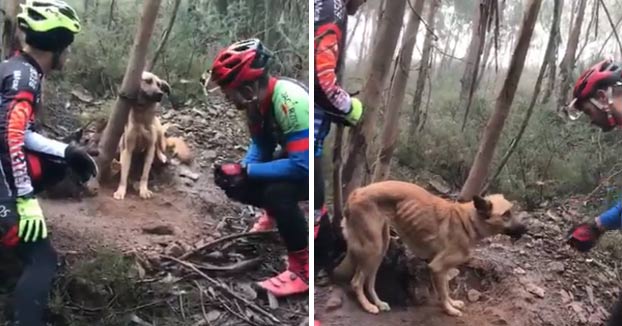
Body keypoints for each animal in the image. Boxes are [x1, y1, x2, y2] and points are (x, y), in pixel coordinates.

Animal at [113, 71, 172, 199]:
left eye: (159, 85)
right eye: (148, 81)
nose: (160, 94)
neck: (142, 116)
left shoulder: (150, 148)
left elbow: (145, 173)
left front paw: (144, 190)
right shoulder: (128, 148)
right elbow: (124, 173)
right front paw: (121, 190)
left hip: (159, 134)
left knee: (159, 146)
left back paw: (161, 156)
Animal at [334, 180, 528, 318]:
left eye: (511, 212)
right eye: (506, 215)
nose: (526, 229)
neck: (468, 222)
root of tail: (357, 191)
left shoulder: (445, 269)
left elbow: (447, 289)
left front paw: (453, 303)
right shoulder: (437, 267)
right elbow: (442, 292)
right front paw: (449, 309)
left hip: (381, 248)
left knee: (369, 281)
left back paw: (378, 303)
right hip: (373, 249)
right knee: (356, 282)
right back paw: (368, 306)